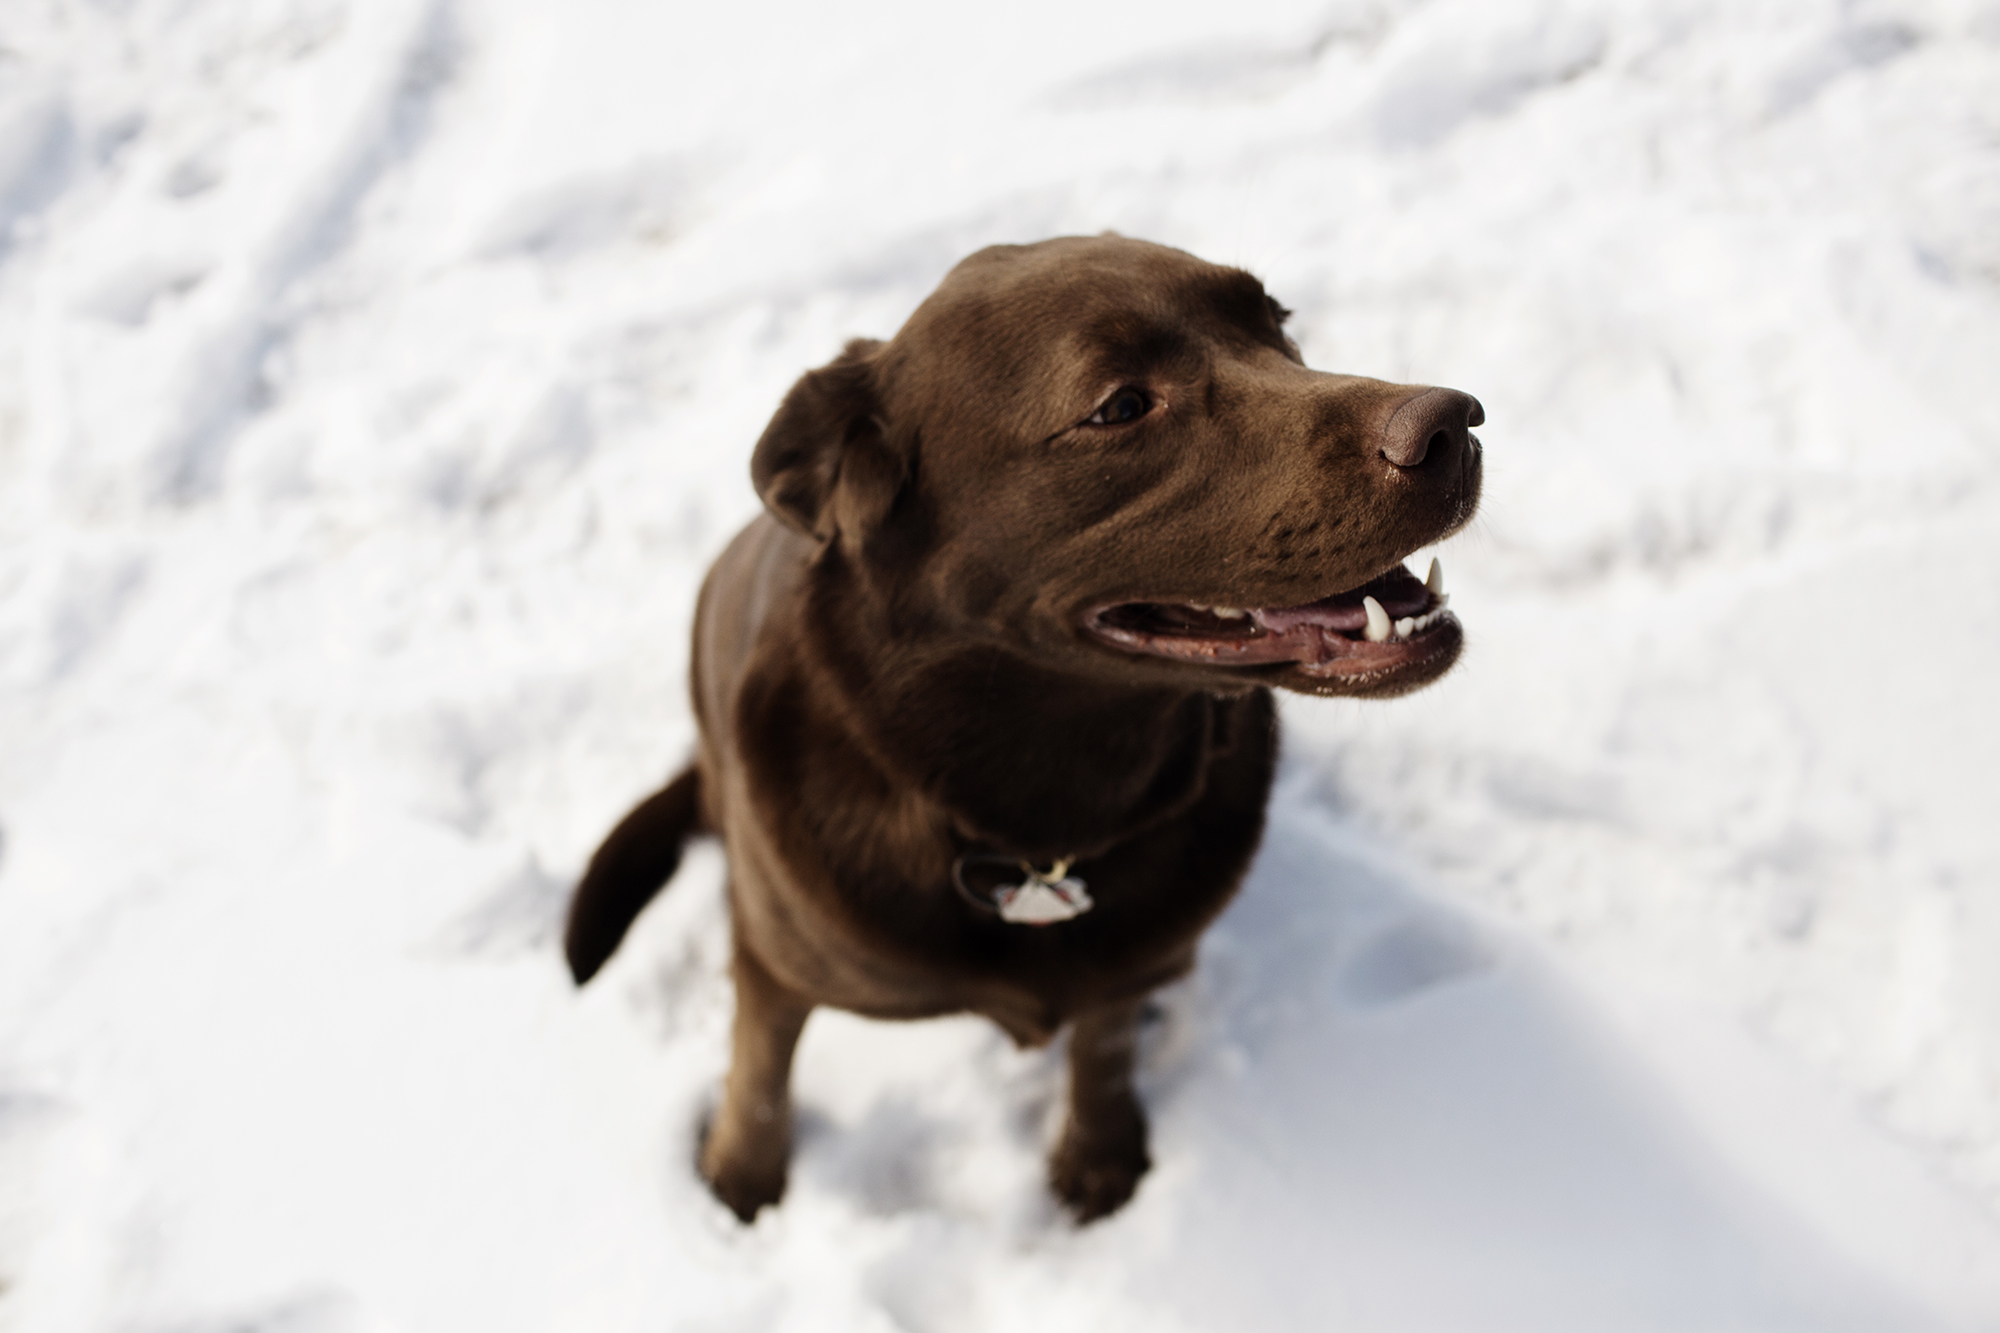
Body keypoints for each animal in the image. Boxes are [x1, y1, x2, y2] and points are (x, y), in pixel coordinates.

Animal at [564, 236, 1488, 1216]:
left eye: (1275, 322)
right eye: (1118, 406)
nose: (1454, 424)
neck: (1040, 814)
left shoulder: (1126, 957)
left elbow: (1104, 1039)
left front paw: (1099, 1156)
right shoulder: (772, 960)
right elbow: (761, 1071)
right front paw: (739, 1181)